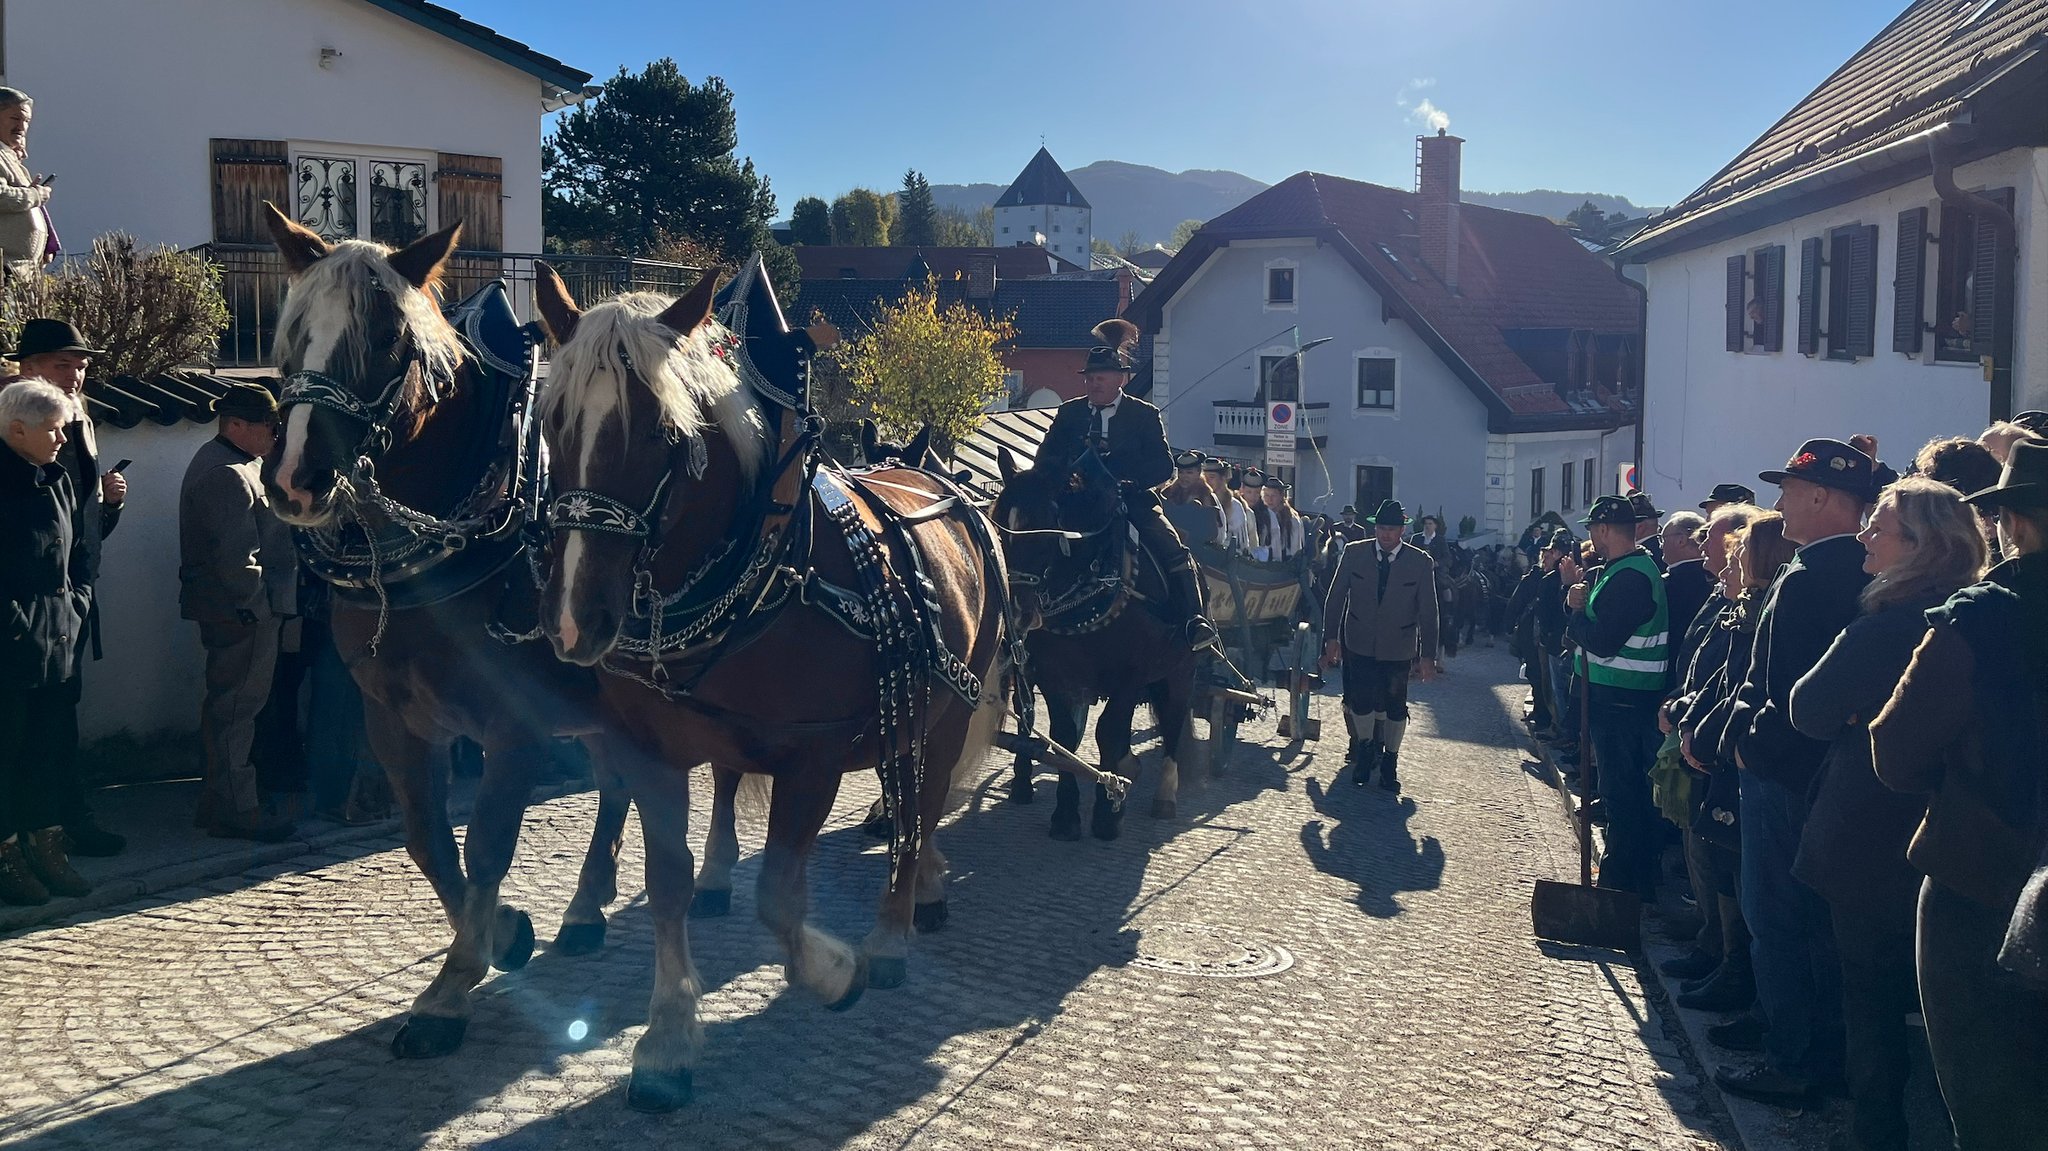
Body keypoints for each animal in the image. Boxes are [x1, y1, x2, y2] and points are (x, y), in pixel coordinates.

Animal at [254, 203, 638, 1056]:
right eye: (290, 333)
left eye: (384, 340)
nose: (295, 479)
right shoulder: (393, 714)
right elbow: (428, 837)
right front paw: (502, 931)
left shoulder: (515, 723)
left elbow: (487, 839)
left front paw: (452, 987)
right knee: (619, 780)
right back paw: (587, 904)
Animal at [528, 262, 1007, 1114]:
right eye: (552, 422)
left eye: (663, 434)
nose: (576, 619)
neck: (766, 557)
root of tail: (947, 482)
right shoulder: (652, 752)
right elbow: (668, 883)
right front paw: (668, 1037)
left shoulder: (812, 756)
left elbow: (778, 896)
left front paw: (836, 971)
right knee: (907, 803)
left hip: (950, 707)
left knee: (921, 809)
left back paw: (894, 928)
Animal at [991, 444, 1196, 839]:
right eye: (999, 527)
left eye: (1045, 529)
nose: (1017, 611)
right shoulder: (1055, 676)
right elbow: (1065, 735)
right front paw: (1067, 813)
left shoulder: (1130, 676)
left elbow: (1109, 734)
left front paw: (1107, 809)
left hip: (1181, 671)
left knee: (1174, 721)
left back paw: (1164, 793)